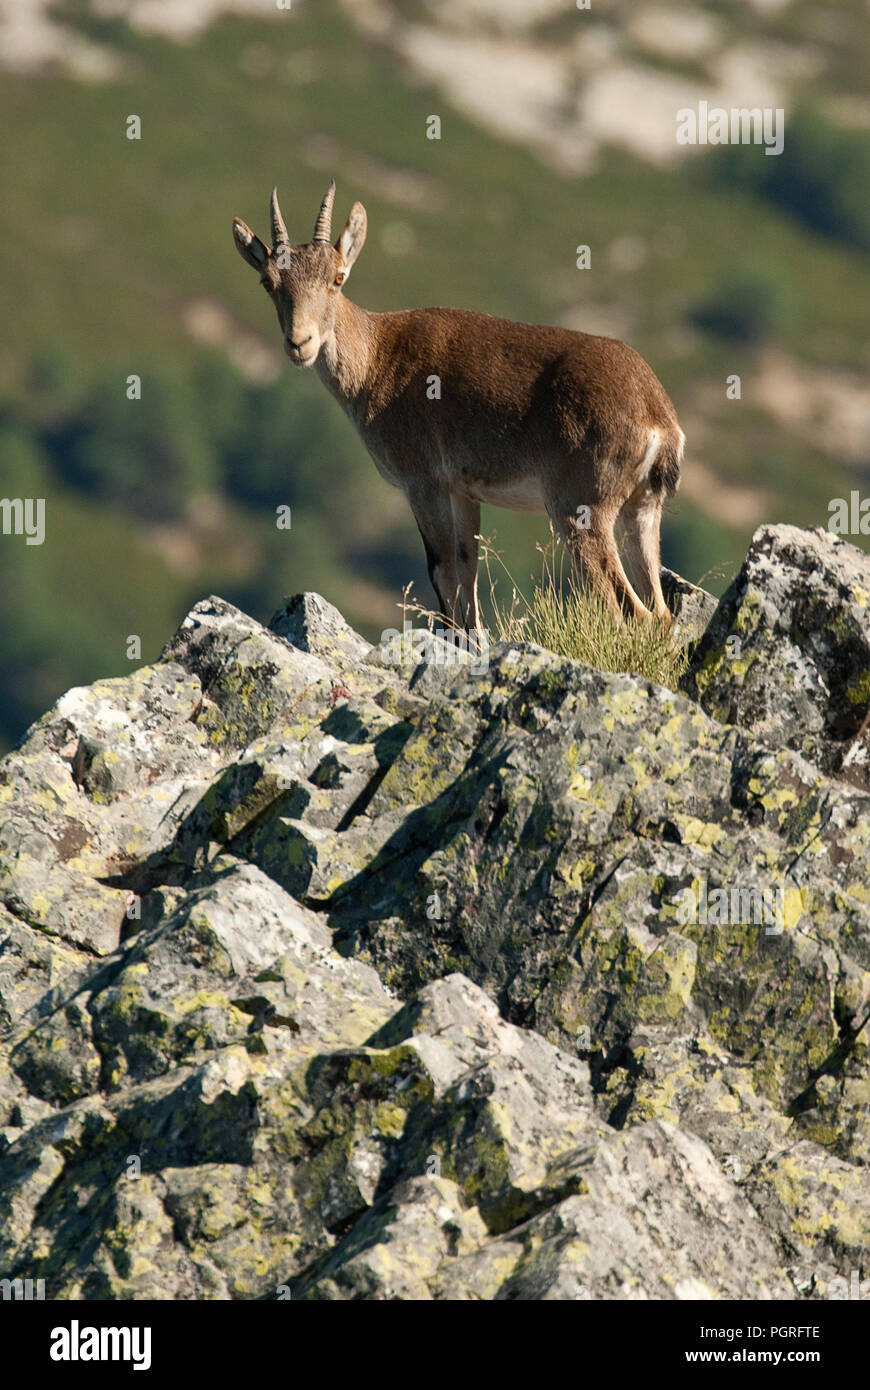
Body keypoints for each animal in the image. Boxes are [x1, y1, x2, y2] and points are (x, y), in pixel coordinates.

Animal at [232, 182, 684, 637]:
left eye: (337, 278)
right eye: (268, 281)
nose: (300, 343)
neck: (377, 360)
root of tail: (658, 418)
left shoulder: (423, 482)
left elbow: (442, 570)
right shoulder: (463, 491)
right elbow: (468, 574)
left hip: (580, 509)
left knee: (630, 609)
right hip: (642, 511)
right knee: (660, 610)